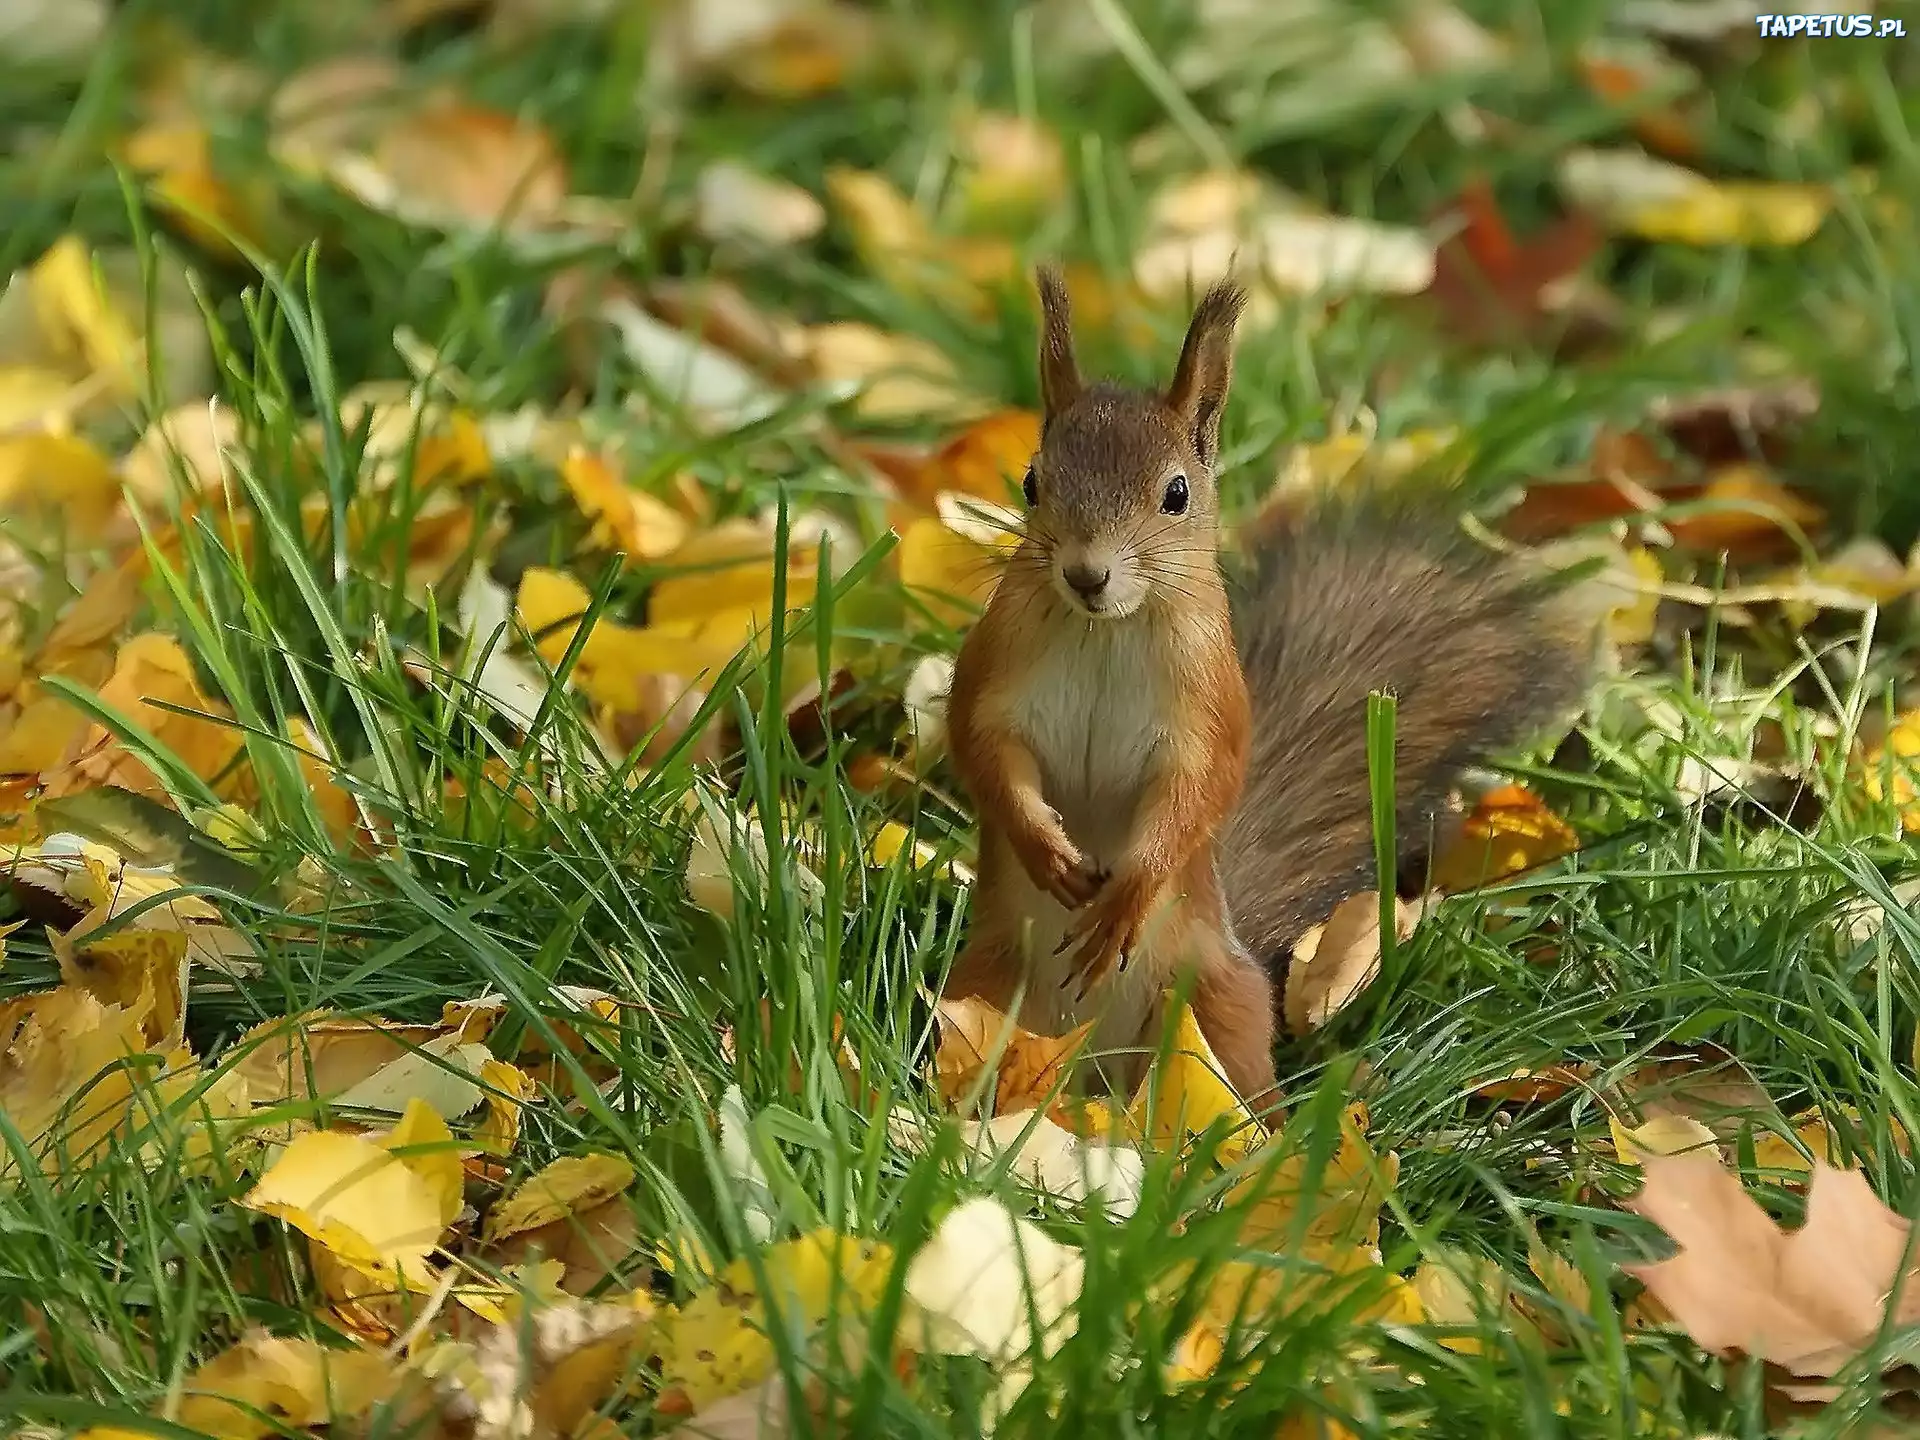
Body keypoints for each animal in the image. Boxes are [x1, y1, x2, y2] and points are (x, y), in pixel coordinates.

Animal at [940, 264, 1589, 1098]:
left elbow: (1199, 791)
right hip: (982, 987)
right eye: (1031, 482)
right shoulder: (996, 671)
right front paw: (1044, 846)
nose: (1086, 576)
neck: (1104, 630)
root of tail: (1093, 1074)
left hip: (1219, 1006)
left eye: (1177, 494)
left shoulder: (1210, 703)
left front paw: (1128, 896)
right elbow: (986, 751)